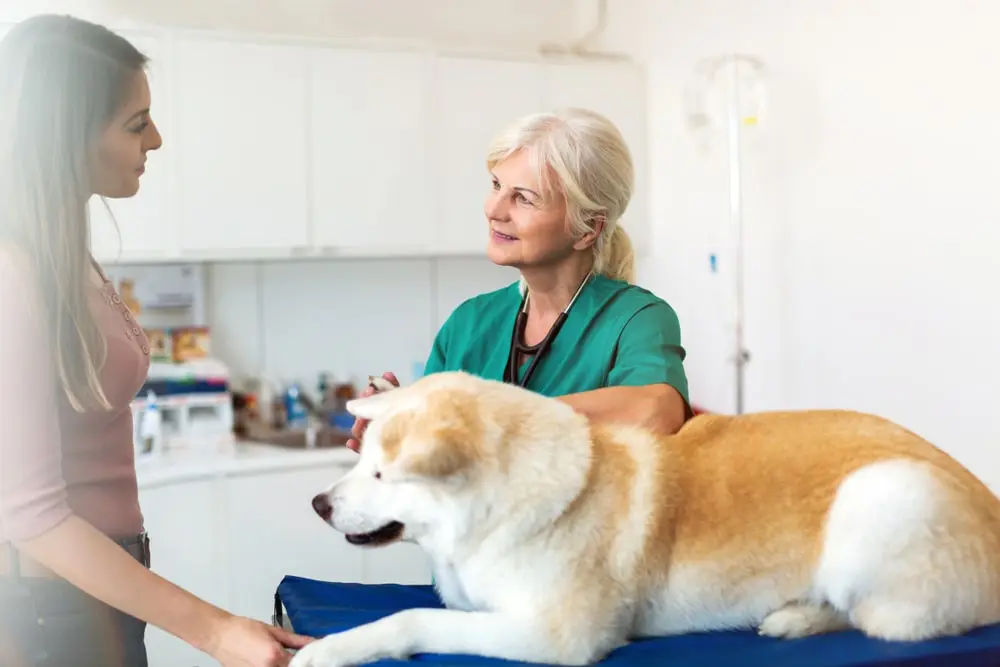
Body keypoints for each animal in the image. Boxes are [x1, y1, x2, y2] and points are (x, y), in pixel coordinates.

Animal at [288, 370, 1000, 667]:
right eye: (361, 459)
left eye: (383, 475)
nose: (318, 504)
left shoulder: (555, 637)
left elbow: (409, 618)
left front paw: (329, 649)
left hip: (880, 494)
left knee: (891, 621)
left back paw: (798, 616)